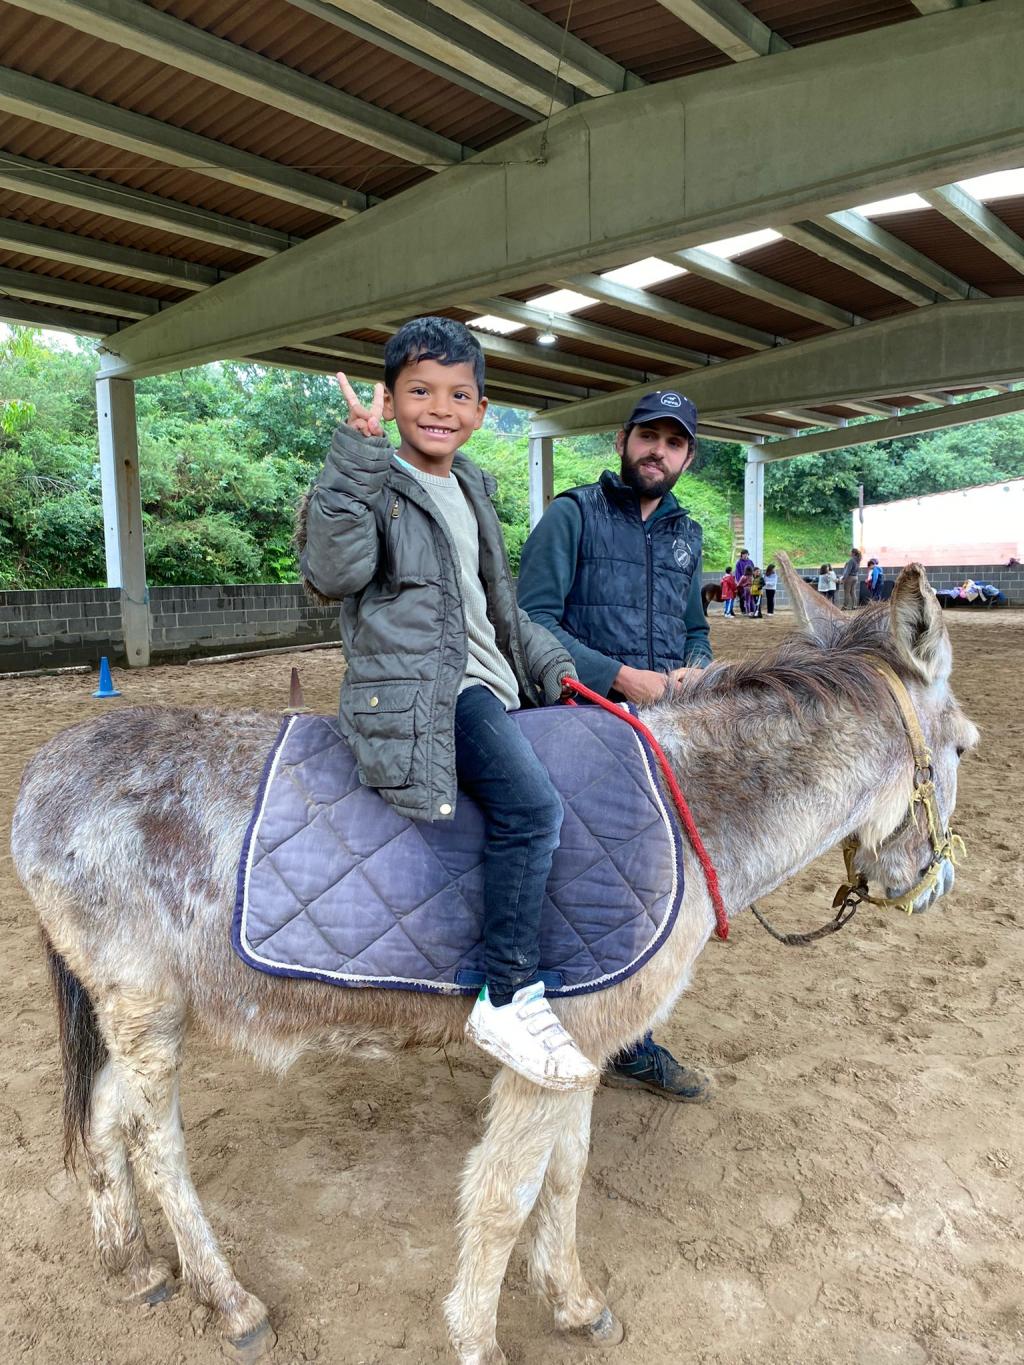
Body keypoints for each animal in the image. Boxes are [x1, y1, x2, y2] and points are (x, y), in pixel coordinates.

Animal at [11, 557, 977, 1365]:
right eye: (964, 746)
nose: (929, 884)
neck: (683, 807)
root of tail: (45, 773)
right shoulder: (544, 1060)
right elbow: (506, 1194)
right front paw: (478, 1338)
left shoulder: (582, 1045)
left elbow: (565, 1179)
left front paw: (575, 1303)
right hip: (146, 1008)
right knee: (155, 1144)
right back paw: (228, 1299)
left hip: (124, 1011)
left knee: (102, 1119)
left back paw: (132, 1263)